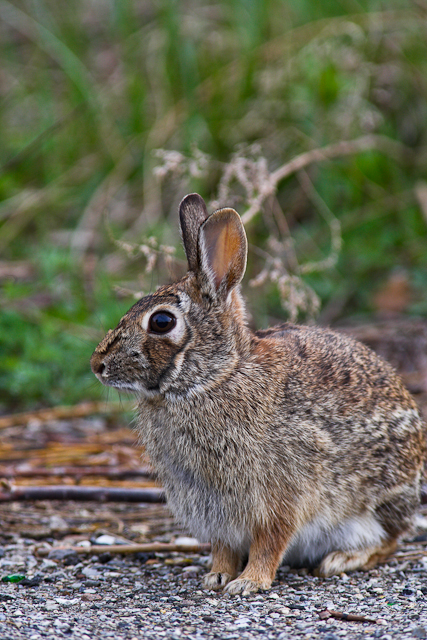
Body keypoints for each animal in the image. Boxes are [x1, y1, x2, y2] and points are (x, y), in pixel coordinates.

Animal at [91, 194, 427, 596]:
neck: (215, 378)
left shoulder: (281, 493)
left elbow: (270, 540)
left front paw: (248, 582)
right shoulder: (215, 509)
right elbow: (223, 546)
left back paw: (344, 559)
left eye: (161, 322)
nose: (97, 364)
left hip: (377, 502)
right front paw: (217, 577)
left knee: (390, 539)